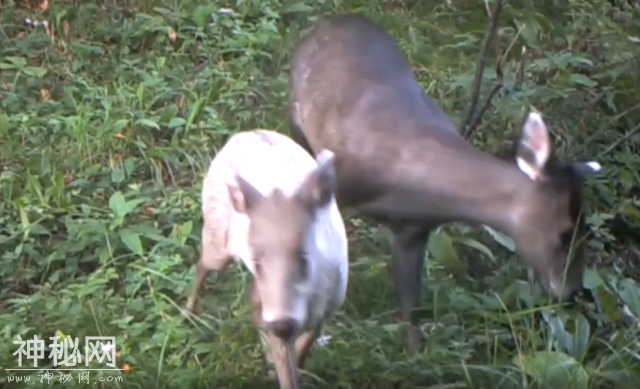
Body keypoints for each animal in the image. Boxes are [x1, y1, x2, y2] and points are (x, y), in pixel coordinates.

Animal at [288, 13, 604, 356]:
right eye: (563, 233)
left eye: (586, 230)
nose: (572, 293)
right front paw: (303, 345)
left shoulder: (413, 231)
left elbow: (411, 305)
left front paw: (415, 355)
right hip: (296, 119)